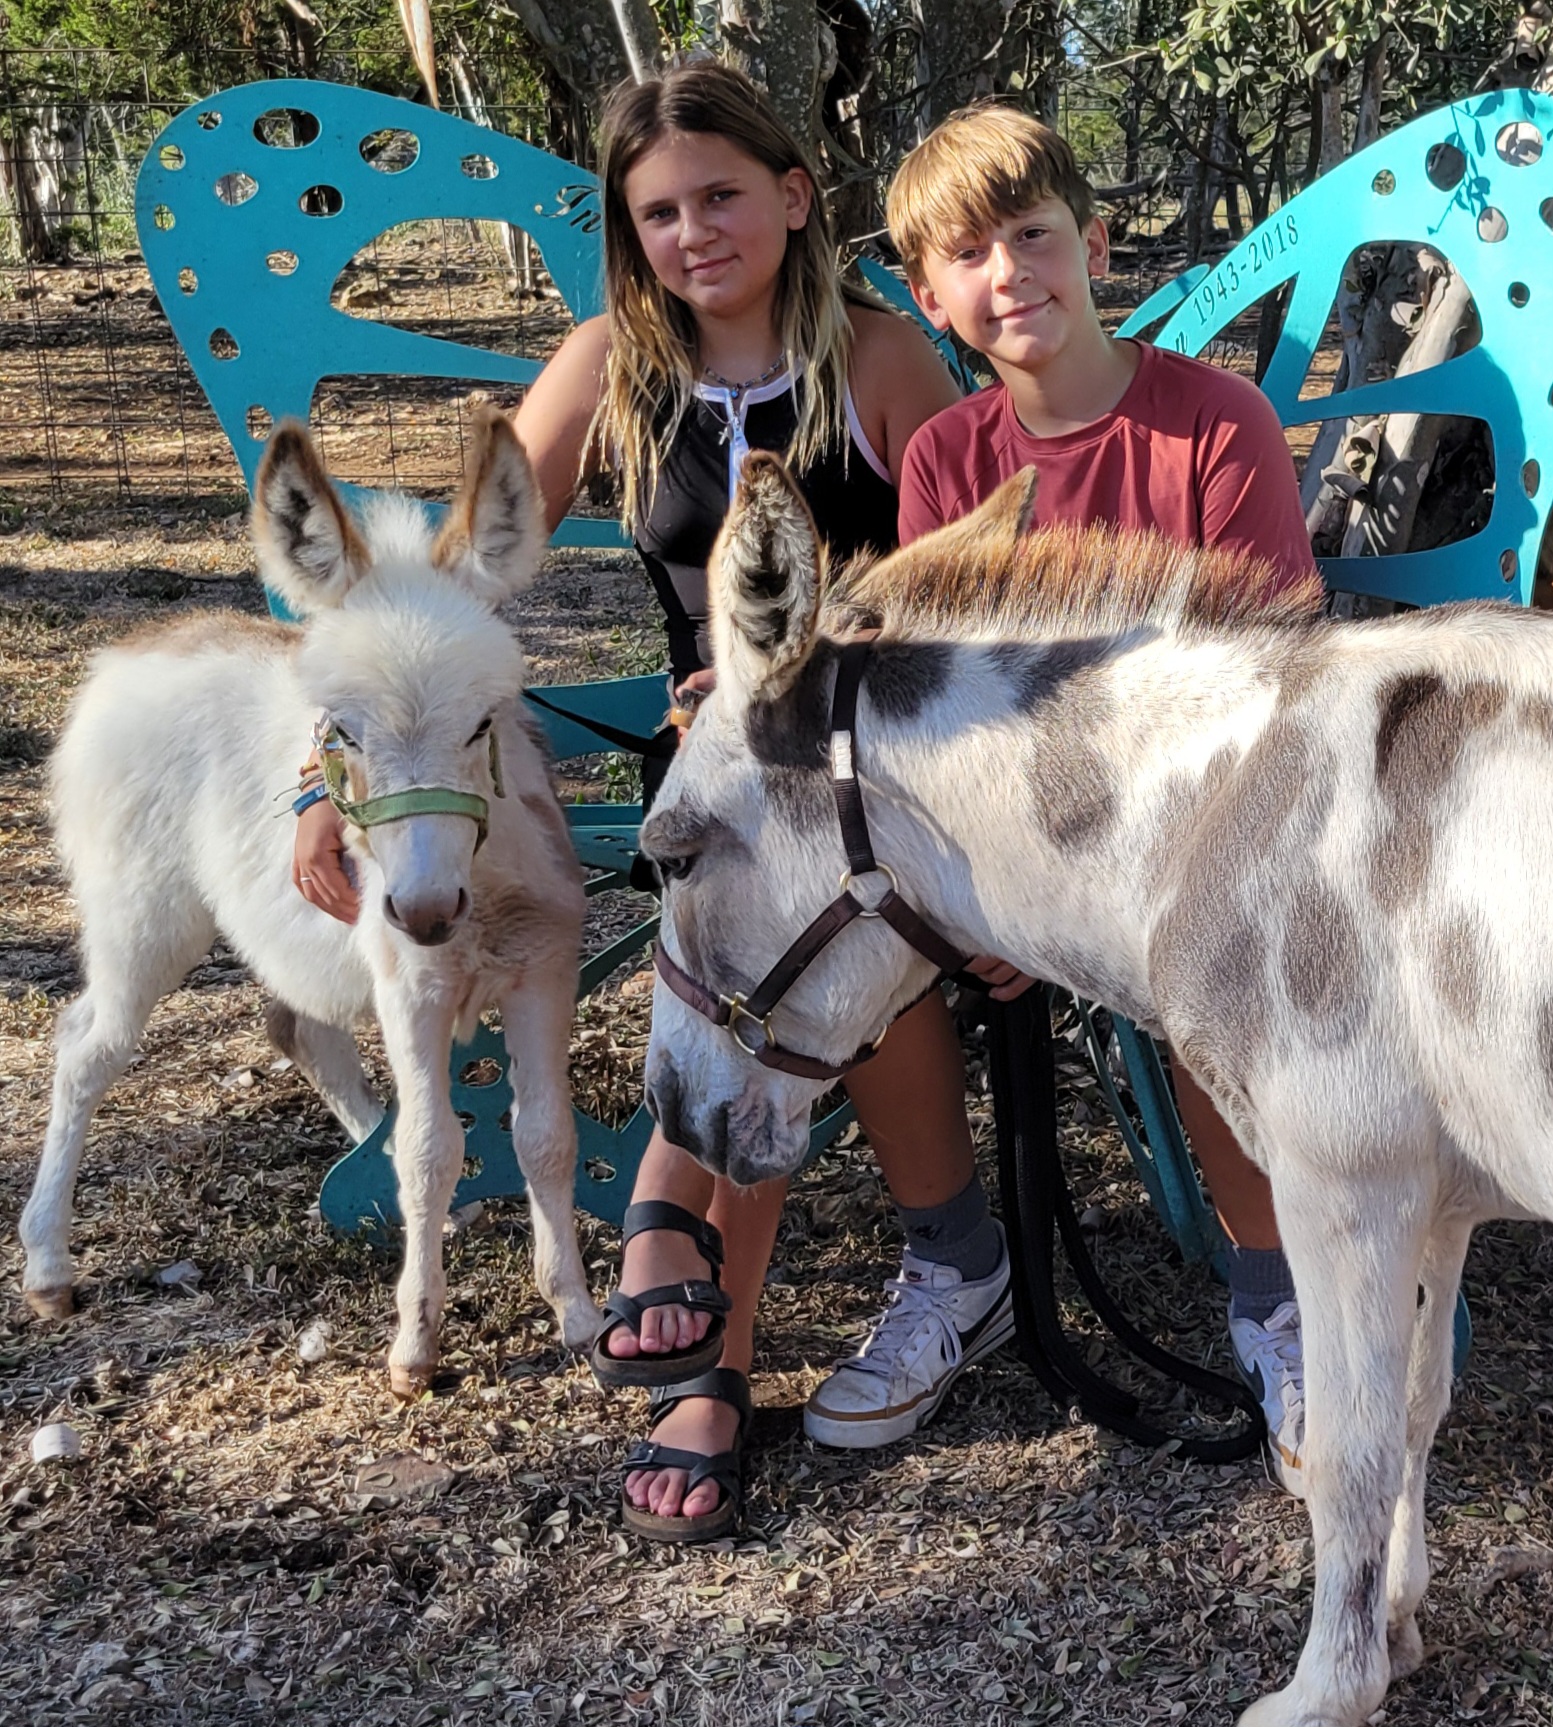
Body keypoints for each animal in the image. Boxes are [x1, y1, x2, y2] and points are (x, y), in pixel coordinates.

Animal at [27, 411, 604, 1395]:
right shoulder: (411, 986)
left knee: (299, 1030)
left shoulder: (541, 972)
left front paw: (576, 1311)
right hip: (145, 920)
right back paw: (47, 1266)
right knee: (87, 1046)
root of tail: (137, 647)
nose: (424, 911)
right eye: (340, 733)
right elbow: (432, 1149)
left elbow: (545, 1137)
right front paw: (415, 1345)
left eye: (483, 723)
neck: (481, 890)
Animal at [642, 455, 1553, 1727]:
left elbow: (1351, 1445)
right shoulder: (1433, 1195)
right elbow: (1419, 1410)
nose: (669, 1107)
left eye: (671, 853)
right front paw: (1399, 1621)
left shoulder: (1340, 1188)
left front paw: (1325, 1690)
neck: (1227, 806)